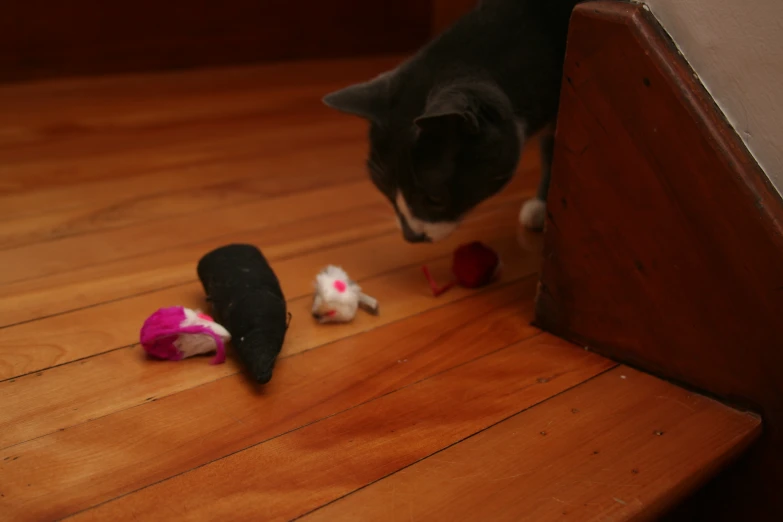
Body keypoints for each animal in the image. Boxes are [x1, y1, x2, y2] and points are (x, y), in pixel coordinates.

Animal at [320, 0, 580, 243]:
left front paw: (546, 208)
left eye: (434, 198)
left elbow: (555, 150)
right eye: (384, 188)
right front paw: (544, 207)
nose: (411, 236)